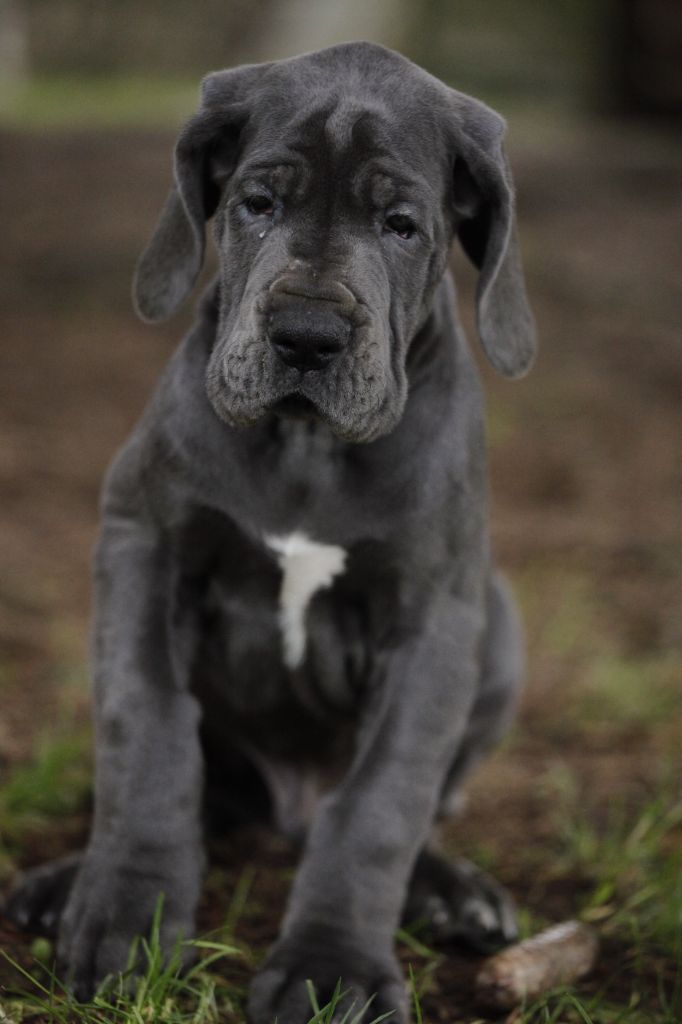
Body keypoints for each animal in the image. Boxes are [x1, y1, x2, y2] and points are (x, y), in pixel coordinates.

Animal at [5, 41, 535, 1023]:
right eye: (258, 203)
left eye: (402, 224)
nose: (308, 335)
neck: (307, 449)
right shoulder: (142, 540)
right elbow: (150, 730)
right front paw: (126, 917)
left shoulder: (435, 618)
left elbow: (380, 802)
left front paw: (333, 970)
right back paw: (64, 881)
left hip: (502, 619)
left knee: (406, 807)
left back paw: (454, 893)